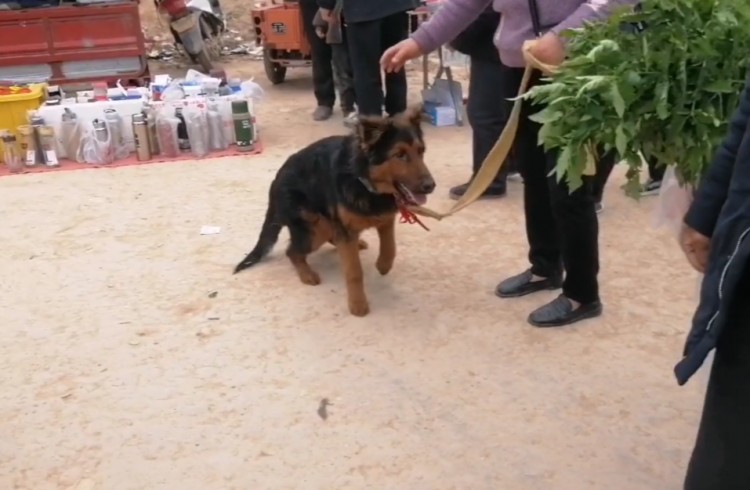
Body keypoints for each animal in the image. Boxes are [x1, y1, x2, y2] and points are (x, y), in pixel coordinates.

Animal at [234, 105, 434, 316]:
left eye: (421, 151)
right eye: (400, 155)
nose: (431, 186)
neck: (363, 180)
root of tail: (276, 181)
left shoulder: (385, 218)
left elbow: (390, 247)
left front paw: (383, 265)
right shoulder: (347, 230)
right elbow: (354, 271)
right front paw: (357, 304)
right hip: (315, 229)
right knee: (293, 252)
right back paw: (307, 274)